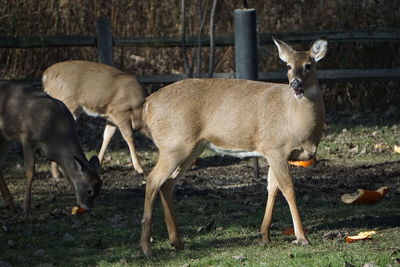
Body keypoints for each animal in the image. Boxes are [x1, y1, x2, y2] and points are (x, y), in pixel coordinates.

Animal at [0, 81, 102, 214]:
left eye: (99, 187)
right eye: (89, 190)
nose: (87, 208)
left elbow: (66, 173)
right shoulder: (27, 139)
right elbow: (30, 172)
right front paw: (26, 207)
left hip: (7, 139)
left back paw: (10, 204)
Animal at [139, 36, 326, 256]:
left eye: (308, 65)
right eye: (288, 65)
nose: (295, 84)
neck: (297, 124)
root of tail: (148, 104)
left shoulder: (274, 152)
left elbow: (272, 188)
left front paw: (265, 235)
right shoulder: (276, 148)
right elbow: (288, 189)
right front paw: (302, 237)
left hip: (192, 147)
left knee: (167, 184)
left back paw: (176, 242)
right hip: (173, 144)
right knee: (152, 180)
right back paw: (146, 247)